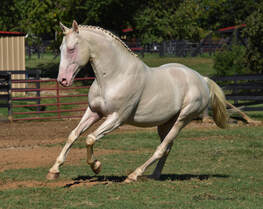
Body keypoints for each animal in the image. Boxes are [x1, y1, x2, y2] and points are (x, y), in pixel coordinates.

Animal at [46, 20, 228, 182]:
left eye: (71, 49)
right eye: (61, 48)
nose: (62, 80)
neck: (114, 76)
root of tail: (202, 79)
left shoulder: (117, 118)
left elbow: (90, 138)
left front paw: (96, 166)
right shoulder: (94, 112)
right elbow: (73, 135)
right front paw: (54, 171)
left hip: (182, 119)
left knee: (161, 148)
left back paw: (134, 175)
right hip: (165, 123)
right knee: (167, 148)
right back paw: (154, 176)